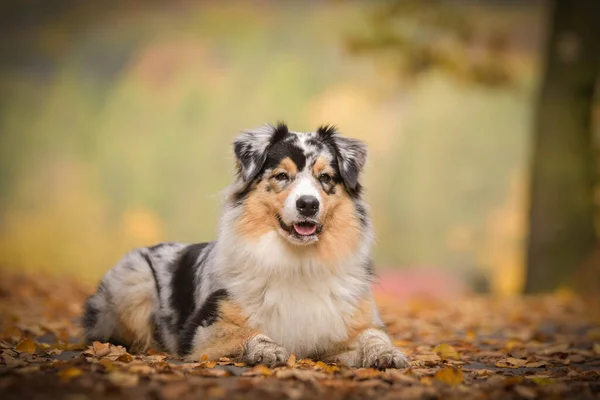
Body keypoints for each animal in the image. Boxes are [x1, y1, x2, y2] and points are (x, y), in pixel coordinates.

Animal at [83, 122, 408, 368]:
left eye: (325, 177)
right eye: (282, 176)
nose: (307, 204)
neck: (298, 261)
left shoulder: (347, 327)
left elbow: (374, 337)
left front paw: (388, 354)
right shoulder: (203, 328)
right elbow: (247, 334)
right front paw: (267, 349)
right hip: (134, 284)